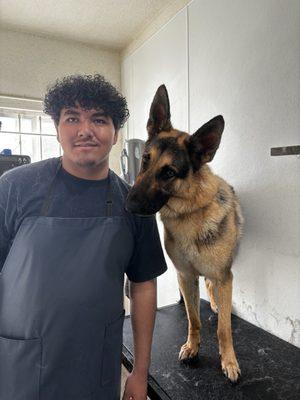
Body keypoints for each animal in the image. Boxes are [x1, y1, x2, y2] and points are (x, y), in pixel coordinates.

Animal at [125, 86, 243, 382]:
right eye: (145, 159)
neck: (190, 213)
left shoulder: (224, 275)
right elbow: (193, 319)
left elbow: (223, 328)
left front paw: (229, 361)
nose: (128, 205)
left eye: (169, 172)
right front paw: (192, 347)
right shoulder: (186, 276)